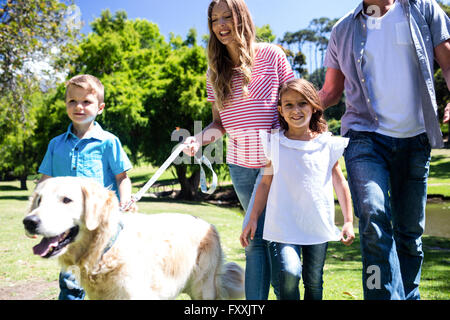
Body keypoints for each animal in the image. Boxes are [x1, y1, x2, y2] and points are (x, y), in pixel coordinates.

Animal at [22, 178, 244, 300]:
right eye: (39, 200)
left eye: (66, 200)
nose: (29, 222)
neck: (106, 249)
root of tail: (209, 225)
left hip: (202, 288)